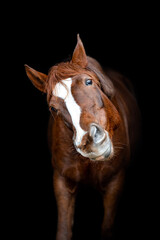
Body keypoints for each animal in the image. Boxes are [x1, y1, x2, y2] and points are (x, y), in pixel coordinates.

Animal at [24, 34, 140, 240]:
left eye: (88, 82)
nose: (92, 142)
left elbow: (107, 229)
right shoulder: (62, 181)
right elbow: (63, 231)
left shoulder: (115, 182)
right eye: (53, 108)